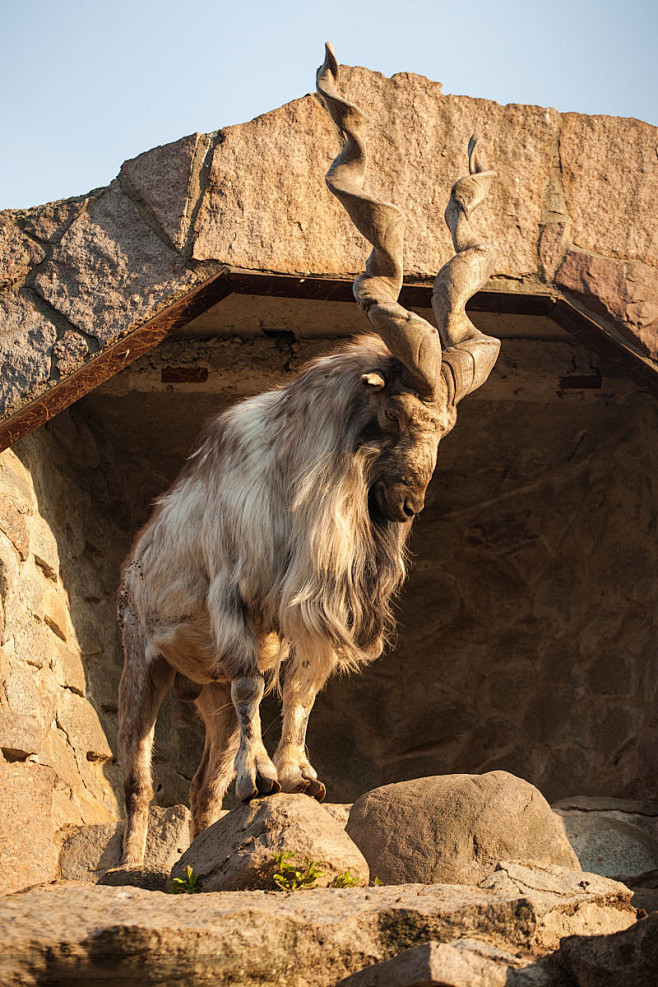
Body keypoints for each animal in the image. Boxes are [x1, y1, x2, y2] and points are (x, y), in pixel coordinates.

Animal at [116, 44, 498, 864]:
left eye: (446, 429)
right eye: (392, 414)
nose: (409, 501)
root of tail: (134, 558)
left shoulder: (310, 613)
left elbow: (299, 689)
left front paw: (298, 777)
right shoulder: (239, 602)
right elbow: (256, 684)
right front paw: (262, 779)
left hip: (195, 687)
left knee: (201, 777)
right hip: (144, 657)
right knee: (137, 774)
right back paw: (133, 863)